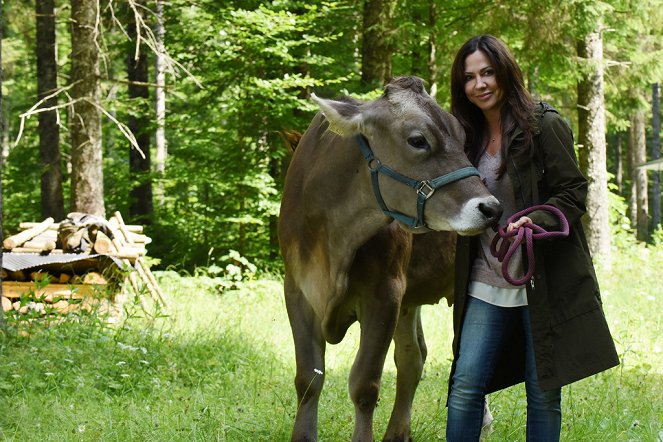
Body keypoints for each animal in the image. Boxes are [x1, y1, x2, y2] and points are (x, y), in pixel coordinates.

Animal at [280, 77, 504, 442]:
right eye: (417, 140)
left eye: (462, 137)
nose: (491, 208)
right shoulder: (297, 290)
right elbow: (308, 378)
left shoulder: (385, 292)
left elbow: (364, 384)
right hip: (409, 299)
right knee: (414, 357)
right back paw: (398, 432)